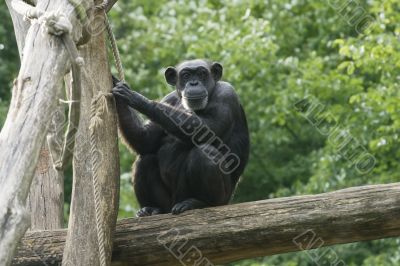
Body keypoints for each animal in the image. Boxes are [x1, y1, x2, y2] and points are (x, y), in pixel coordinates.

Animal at [112, 59, 248, 216]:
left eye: (202, 74)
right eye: (186, 75)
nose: (194, 83)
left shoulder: (226, 94)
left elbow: (207, 127)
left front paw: (138, 98)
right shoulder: (168, 98)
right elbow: (146, 141)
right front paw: (116, 87)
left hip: (222, 199)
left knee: (204, 153)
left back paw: (199, 203)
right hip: (168, 203)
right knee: (145, 159)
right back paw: (151, 208)